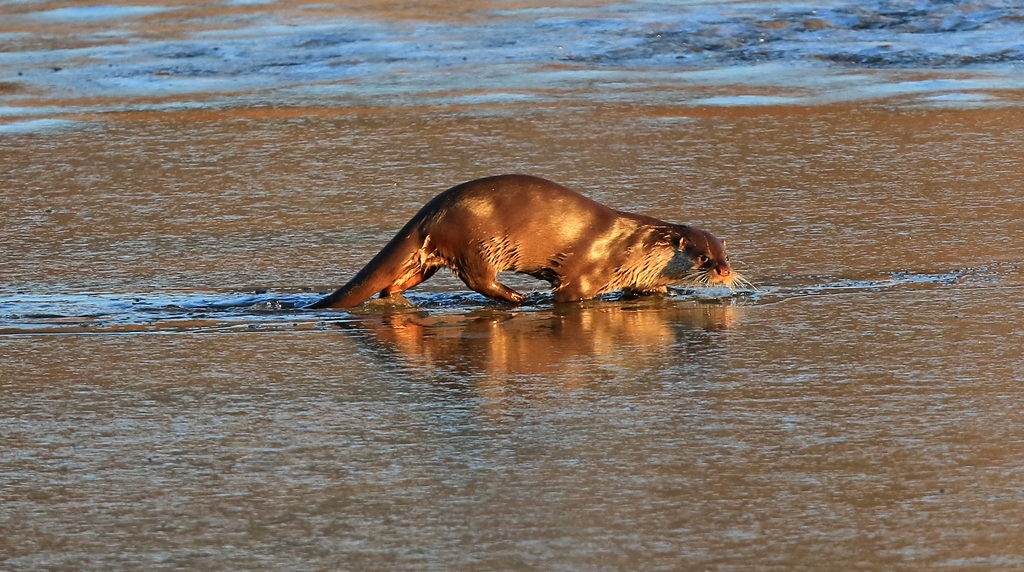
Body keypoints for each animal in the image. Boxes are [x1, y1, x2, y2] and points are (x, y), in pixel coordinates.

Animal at [305, 174, 745, 309]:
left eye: (726, 253)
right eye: (704, 259)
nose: (725, 272)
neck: (634, 249)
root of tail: (431, 210)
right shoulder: (588, 273)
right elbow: (570, 293)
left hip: (424, 259)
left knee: (393, 283)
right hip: (477, 241)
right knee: (478, 279)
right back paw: (517, 297)